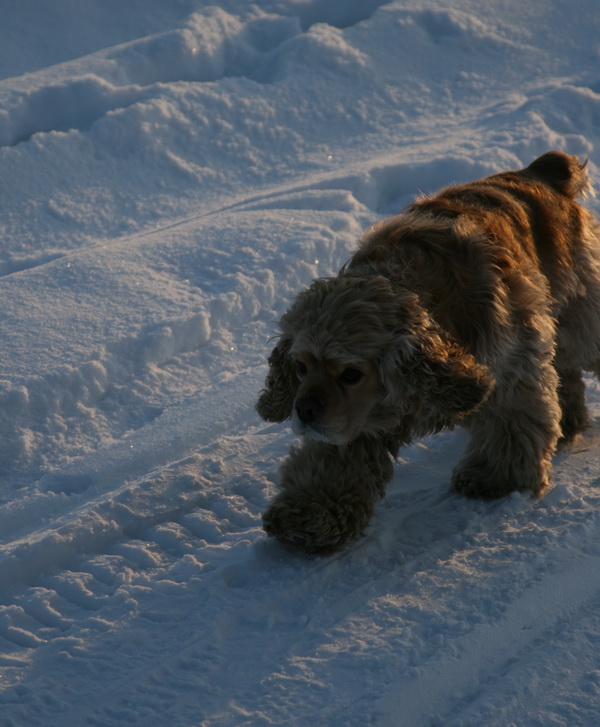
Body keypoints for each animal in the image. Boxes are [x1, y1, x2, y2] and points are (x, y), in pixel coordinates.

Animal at [255, 151, 600, 556]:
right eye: (301, 366)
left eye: (351, 373)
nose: (304, 410)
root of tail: (543, 170)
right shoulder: (356, 419)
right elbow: (335, 462)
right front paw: (308, 518)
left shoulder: (512, 365)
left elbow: (513, 423)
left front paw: (496, 479)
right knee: (564, 370)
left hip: (580, 313)